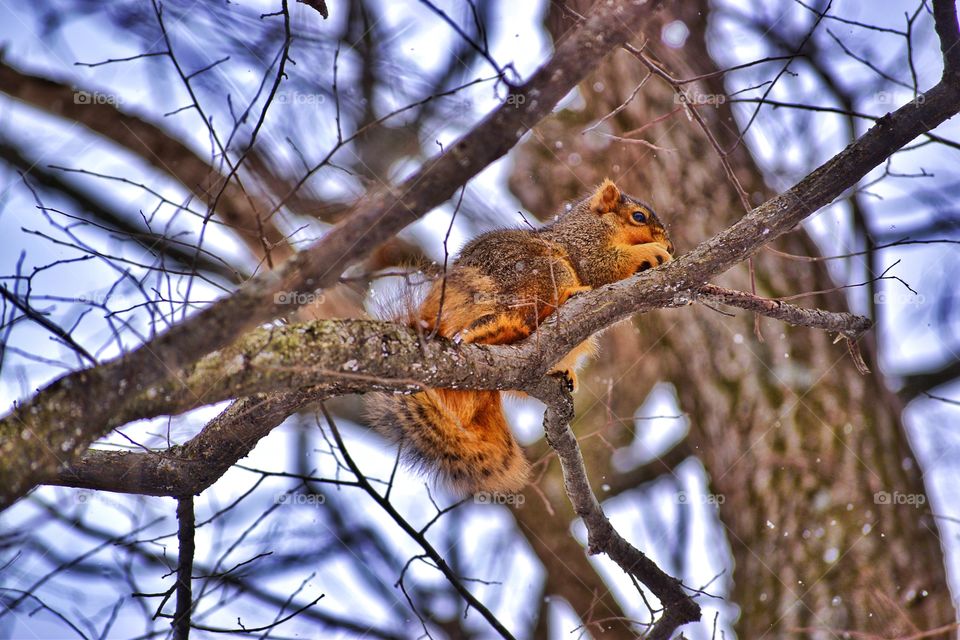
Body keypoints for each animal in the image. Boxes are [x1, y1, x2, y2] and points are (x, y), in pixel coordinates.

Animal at [367, 179, 674, 495]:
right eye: (638, 217)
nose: (670, 245)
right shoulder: (584, 243)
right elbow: (601, 267)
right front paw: (650, 252)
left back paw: (561, 371)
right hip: (541, 273)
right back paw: (557, 302)